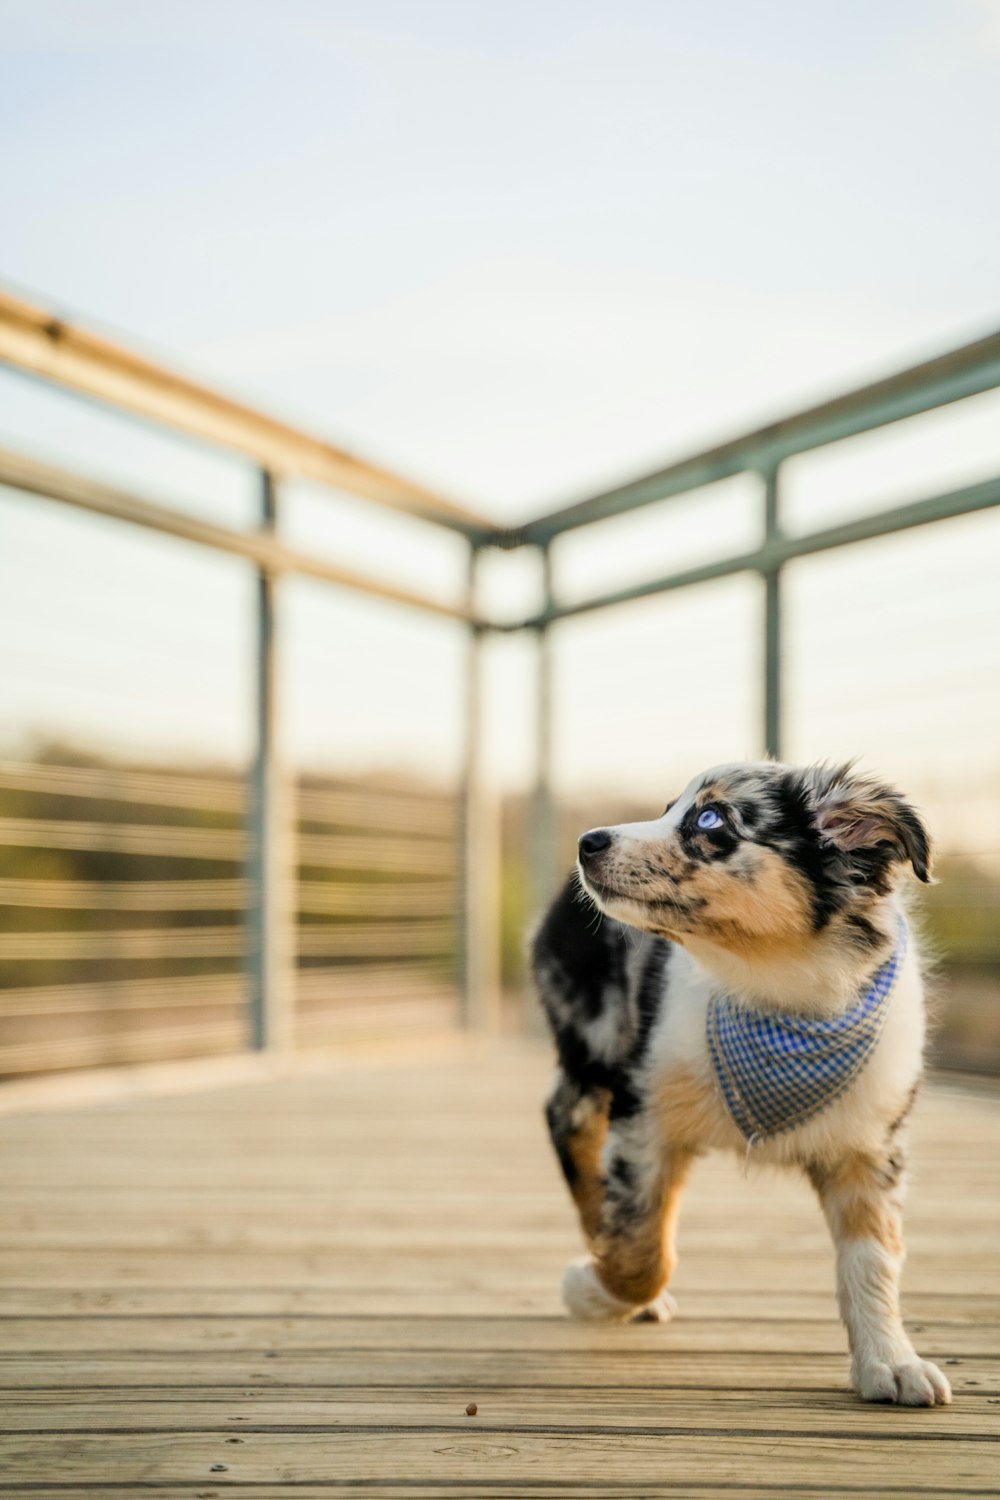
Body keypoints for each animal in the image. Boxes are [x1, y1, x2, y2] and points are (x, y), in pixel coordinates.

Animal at [530, 762, 953, 1404]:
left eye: (709, 819)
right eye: (666, 809)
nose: (588, 842)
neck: (776, 994)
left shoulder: (871, 1147)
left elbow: (873, 1259)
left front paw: (892, 1362)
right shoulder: (643, 1114)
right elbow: (640, 1251)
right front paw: (593, 1287)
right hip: (595, 1037)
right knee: (568, 1122)